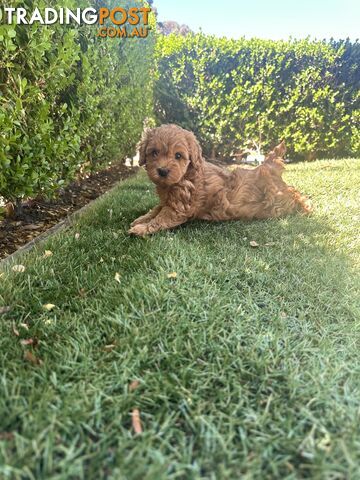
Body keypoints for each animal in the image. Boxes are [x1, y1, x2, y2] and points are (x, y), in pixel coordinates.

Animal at [128, 124, 310, 236]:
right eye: (154, 153)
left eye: (178, 156)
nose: (163, 171)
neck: (187, 174)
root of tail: (272, 170)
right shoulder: (168, 201)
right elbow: (156, 209)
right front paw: (142, 218)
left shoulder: (178, 208)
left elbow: (161, 218)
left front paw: (141, 228)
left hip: (278, 199)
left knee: (294, 194)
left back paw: (306, 206)